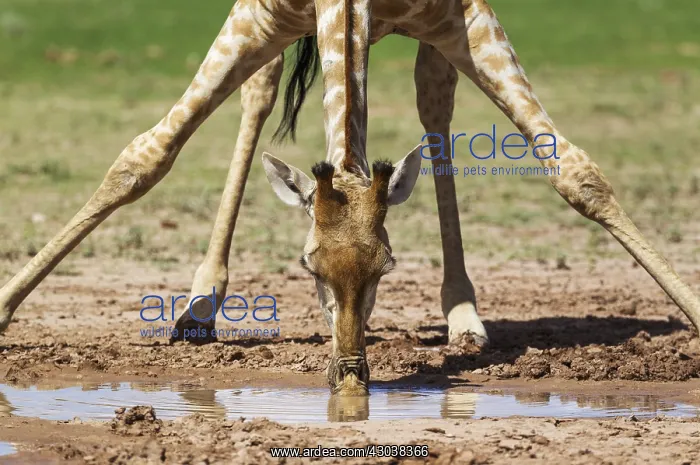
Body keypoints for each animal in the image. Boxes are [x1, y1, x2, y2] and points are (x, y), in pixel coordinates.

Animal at [0, 0, 699, 397]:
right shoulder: (257, 13)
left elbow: (577, 172)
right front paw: (6, 307)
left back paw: (464, 315)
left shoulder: (467, 16)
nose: (350, 374)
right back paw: (201, 304)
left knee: (434, 105)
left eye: (387, 269)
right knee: (260, 92)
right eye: (307, 266)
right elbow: (142, 158)